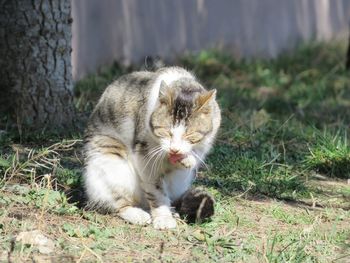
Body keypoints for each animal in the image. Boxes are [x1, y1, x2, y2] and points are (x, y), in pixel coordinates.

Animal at [83, 66, 220, 229]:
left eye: (190, 135)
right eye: (166, 131)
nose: (174, 149)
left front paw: (187, 158)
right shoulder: (145, 157)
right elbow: (156, 191)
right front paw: (163, 217)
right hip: (110, 160)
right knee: (119, 202)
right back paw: (138, 214)